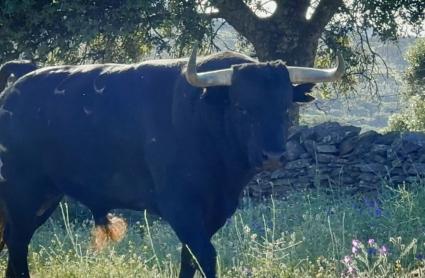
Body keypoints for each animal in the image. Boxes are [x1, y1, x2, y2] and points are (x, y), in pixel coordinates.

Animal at [0, 48, 338, 276]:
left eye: (284, 106)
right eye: (241, 107)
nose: (274, 156)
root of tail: (12, 88)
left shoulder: (213, 212)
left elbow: (189, 258)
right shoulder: (181, 207)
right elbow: (205, 256)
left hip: (45, 198)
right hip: (22, 194)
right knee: (17, 246)